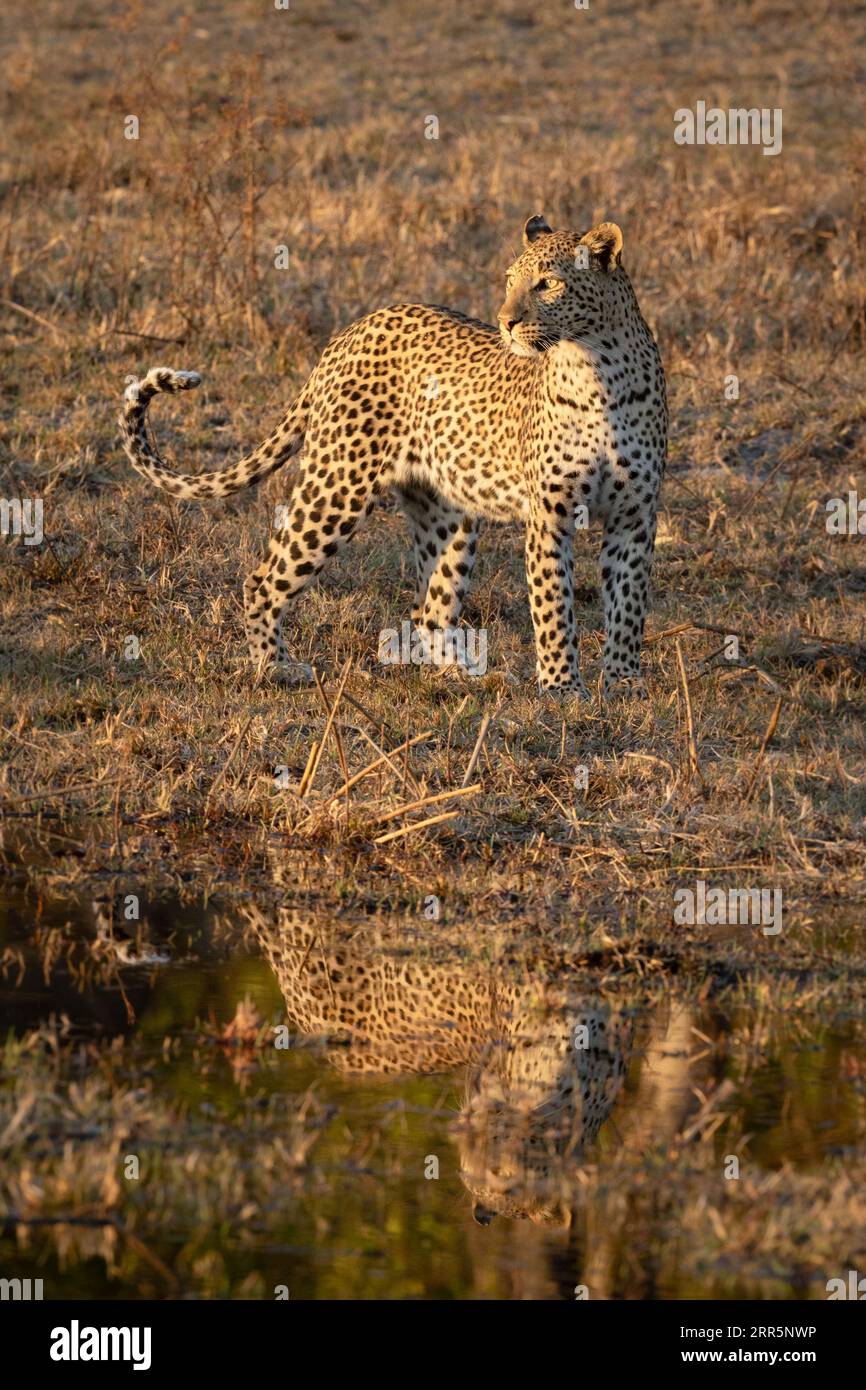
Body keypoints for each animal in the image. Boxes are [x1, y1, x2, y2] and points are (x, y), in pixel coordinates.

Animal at [119, 214, 667, 695]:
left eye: (548, 284)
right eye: (511, 281)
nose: (506, 322)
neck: (595, 368)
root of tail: (348, 333)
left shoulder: (636, 517)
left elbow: (628, 605)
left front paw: (623, 683)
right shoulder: (550, 515)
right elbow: (554, 607)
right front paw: (562, 688)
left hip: (447, 516)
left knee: (432, 612)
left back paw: (467, 678)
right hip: (337, 486)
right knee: (264, 578)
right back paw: (275, 667)